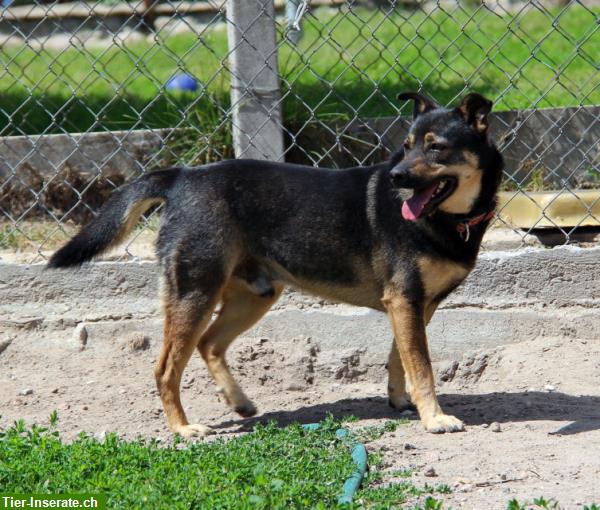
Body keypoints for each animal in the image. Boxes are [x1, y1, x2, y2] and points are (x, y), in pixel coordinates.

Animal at [49, 92, 504, 438]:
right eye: (407, 146)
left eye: (435, 146)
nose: (396, 177)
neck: (447, 220)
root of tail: (181, 177)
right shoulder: (405, 300)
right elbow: (421, 366)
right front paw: (436, 419)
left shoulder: (412, 305)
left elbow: (400, 358)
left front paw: (400, 402)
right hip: (196, 290)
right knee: (165, 368)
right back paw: (183, 428)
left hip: (255, 293)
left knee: (209, 344)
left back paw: (240, 403)